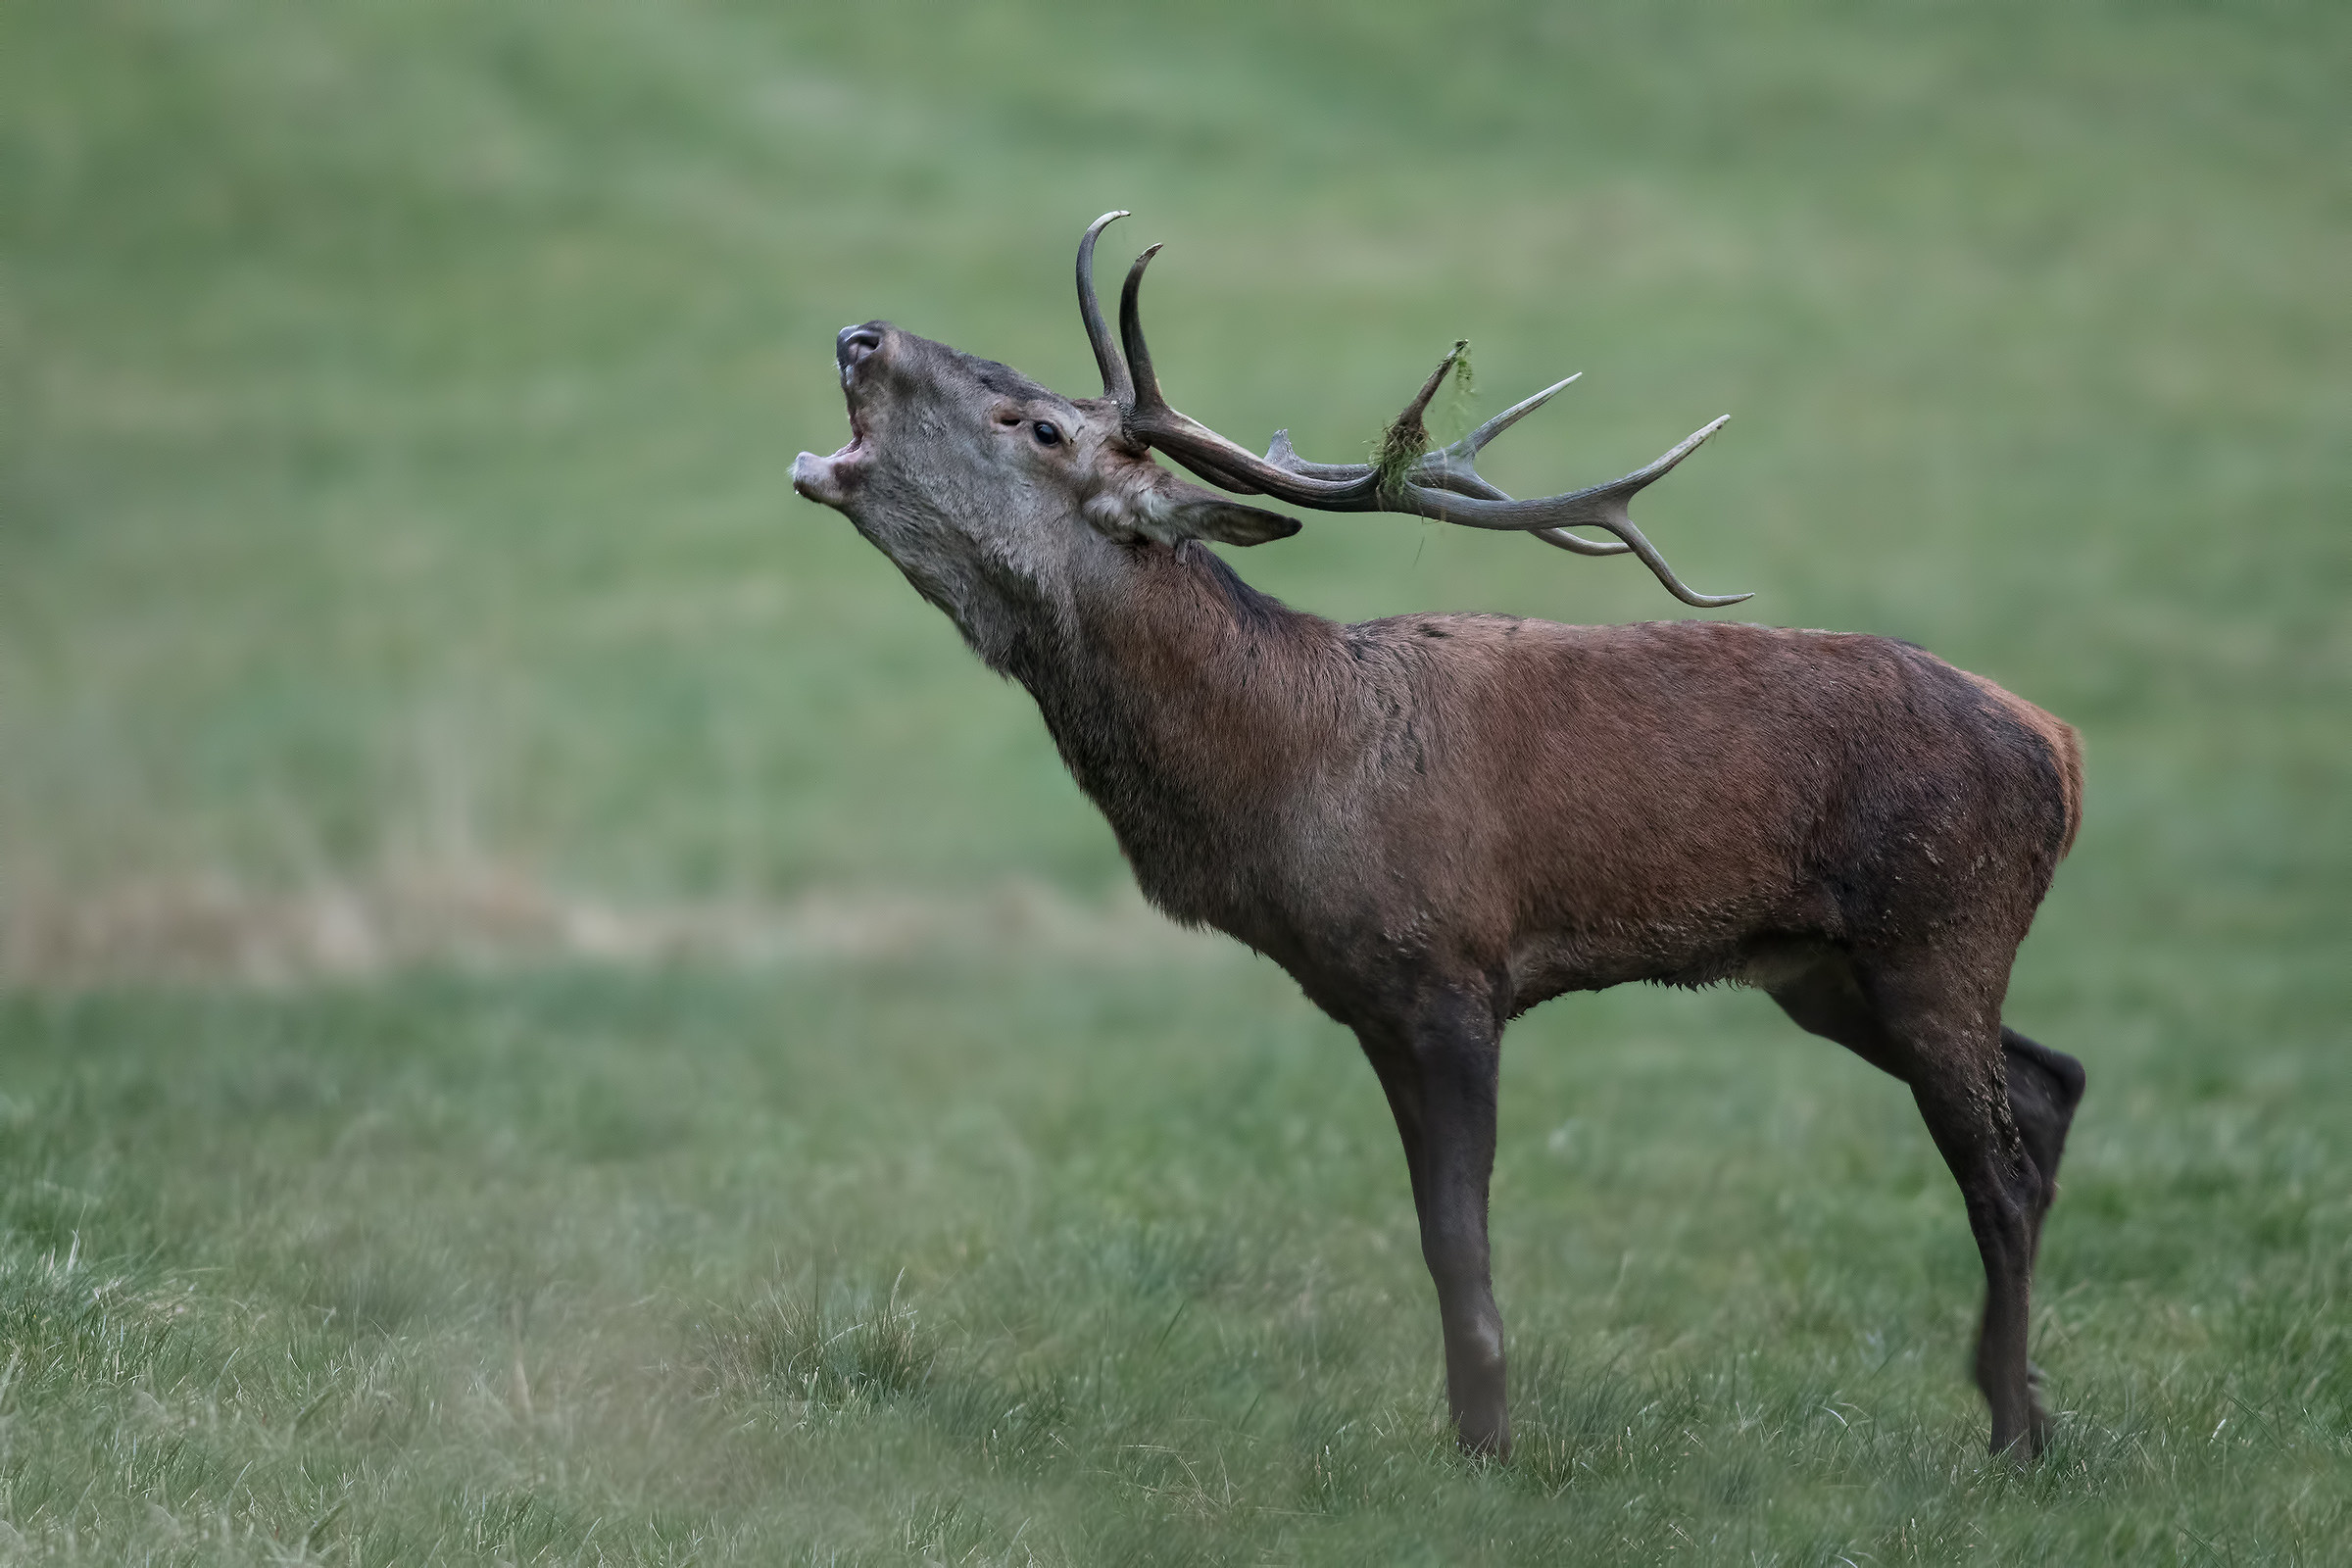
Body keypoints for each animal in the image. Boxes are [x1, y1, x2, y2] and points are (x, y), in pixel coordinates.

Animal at [790, 212, 2086, 1461]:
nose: (861, 334)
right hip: (1827, 970)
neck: (1286, 775)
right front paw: (1470, 1430)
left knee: (1999, 1169)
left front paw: (1487, 1450)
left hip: (1939, 927)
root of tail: (2064, 750)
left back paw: (2014, 1439)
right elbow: (1429, 1233)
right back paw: (2017, 1397)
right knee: (2053, 1081)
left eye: (1041, 425)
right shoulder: (1369, 998)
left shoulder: (1456, 972)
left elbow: (1462, 1239)